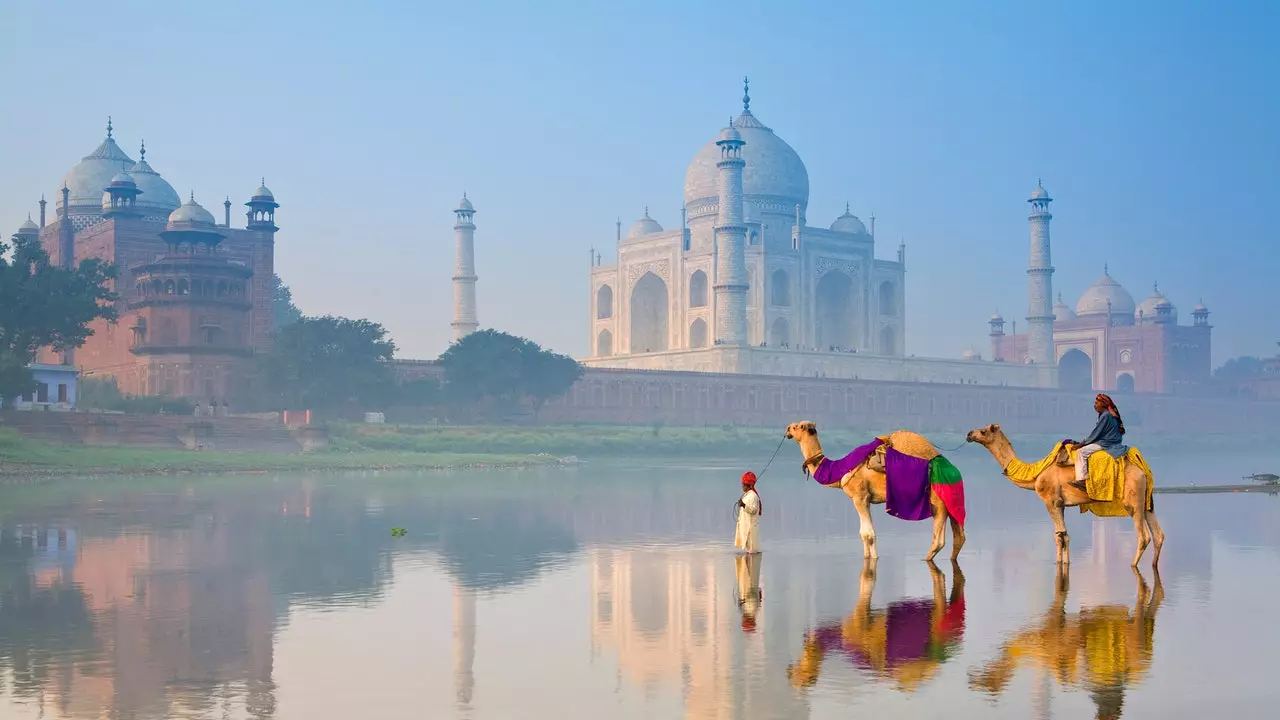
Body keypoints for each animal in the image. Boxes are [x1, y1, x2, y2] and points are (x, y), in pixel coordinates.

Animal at [778, 420, 967, 561]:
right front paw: (867, 557)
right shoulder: (866, 499)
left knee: (939, 539)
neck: (840, 470)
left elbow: (868, 534)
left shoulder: (859, 496)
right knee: (959, 537)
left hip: (937, 502)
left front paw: (874, 559)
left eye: (796, 426)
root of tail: (954, 471)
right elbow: (863, 534)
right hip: (951, 500)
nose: (787, 430)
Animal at [962, 420, 1167, 566]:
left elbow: (1059, 536)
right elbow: (1063, 536)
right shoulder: (1061, 504)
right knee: (1158, 534)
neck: (1036, 474)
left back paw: (1132, 565)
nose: (969, 433)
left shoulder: (1050, 501)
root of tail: (1144, 470)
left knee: (1143, 536)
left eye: (984, 431)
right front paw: (1063, 564)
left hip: (1133, 499)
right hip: (1147, 500)